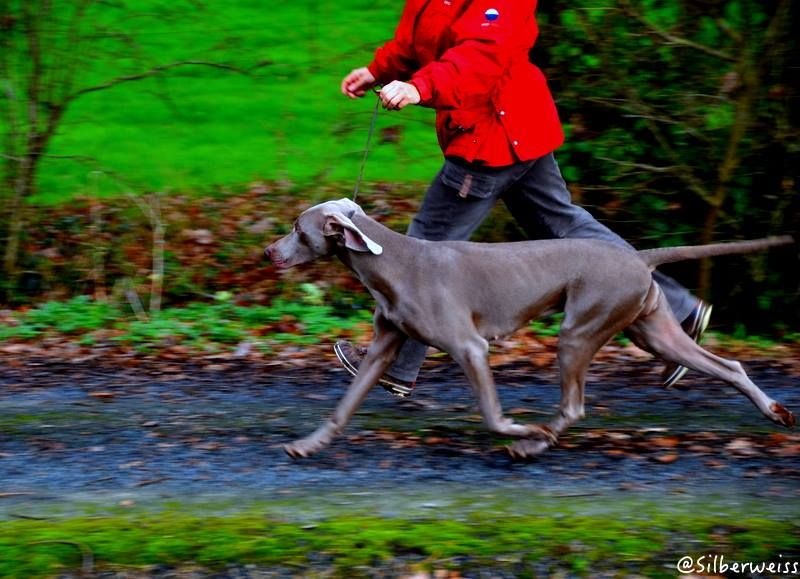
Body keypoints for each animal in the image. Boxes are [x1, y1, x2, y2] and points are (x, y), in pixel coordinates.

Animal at [264, 199, 792, 458]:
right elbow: (343, 407)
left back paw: (535, 442)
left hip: (581, 329)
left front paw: (520, 428)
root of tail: (639, 257)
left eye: (297, 228)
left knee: (574, 406)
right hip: (652, 332)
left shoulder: (470, 347)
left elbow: (492, 413)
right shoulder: (383, 349)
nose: (268, 252)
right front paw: (308, 445)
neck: (391, 261)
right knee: (727, 364)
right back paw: (774, 411)